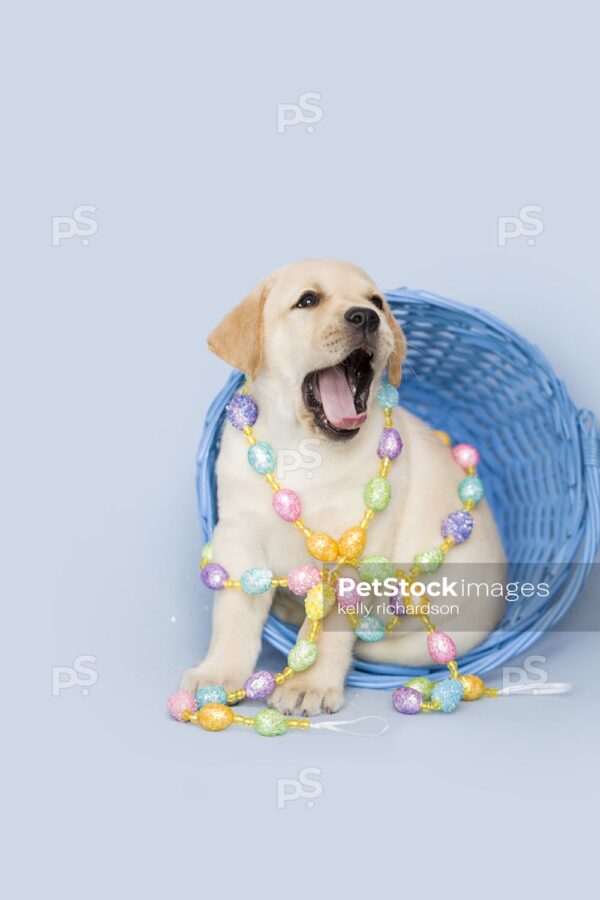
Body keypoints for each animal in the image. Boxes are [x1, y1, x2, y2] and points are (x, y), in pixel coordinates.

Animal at [184, 260, 506, 716]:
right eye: (307, 300)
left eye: (377, 302)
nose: (367, 317)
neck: (305, 450)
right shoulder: (238, 536)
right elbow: (233, 615)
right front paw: (217, 674)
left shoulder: (353, 557)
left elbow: (330, 627)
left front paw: (310, 684)